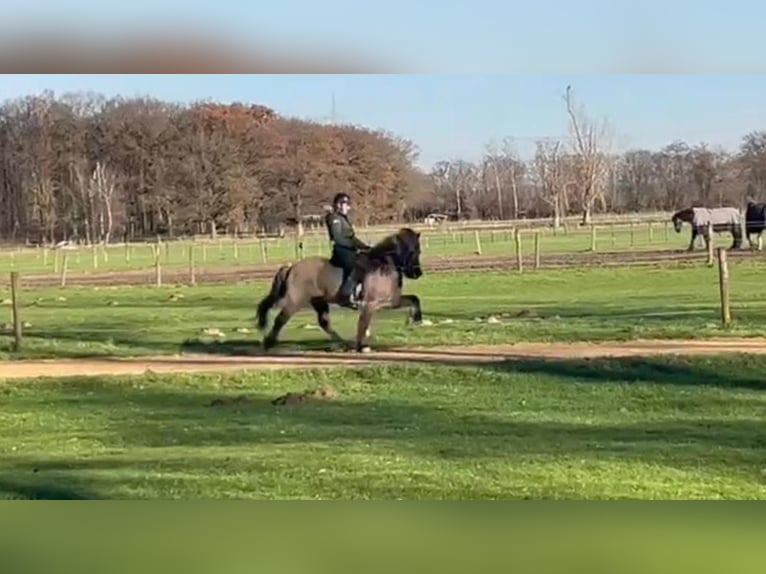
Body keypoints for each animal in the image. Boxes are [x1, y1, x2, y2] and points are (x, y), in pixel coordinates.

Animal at [256, 227, 426, 354]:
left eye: (418, 251)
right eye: (413, 251)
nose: (417, 273)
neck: (383, 266)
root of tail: (292, 267)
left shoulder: (392, 301)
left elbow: (414, 299)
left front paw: (413, 319)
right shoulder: (371, 304)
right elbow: (364, 324)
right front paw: (362, 346)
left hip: (319, 301)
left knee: (324, 322)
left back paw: (341, 343)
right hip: (295, 301)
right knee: (281, 319)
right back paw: (268, 343)